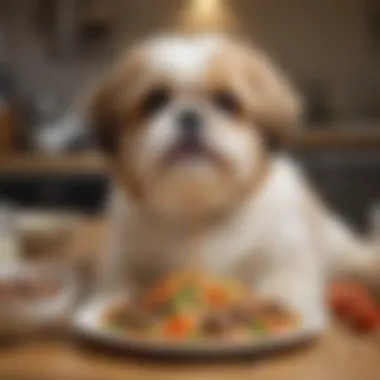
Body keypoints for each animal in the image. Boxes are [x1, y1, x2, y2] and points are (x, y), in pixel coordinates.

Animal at [88, 34, 378, 328]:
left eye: (227, 101)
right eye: (155, 101)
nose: (190, 115)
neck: (199, 215)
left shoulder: (285, 258)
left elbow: (284, 286)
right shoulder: (127, 256)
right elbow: (121, 285)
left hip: (336, 249)